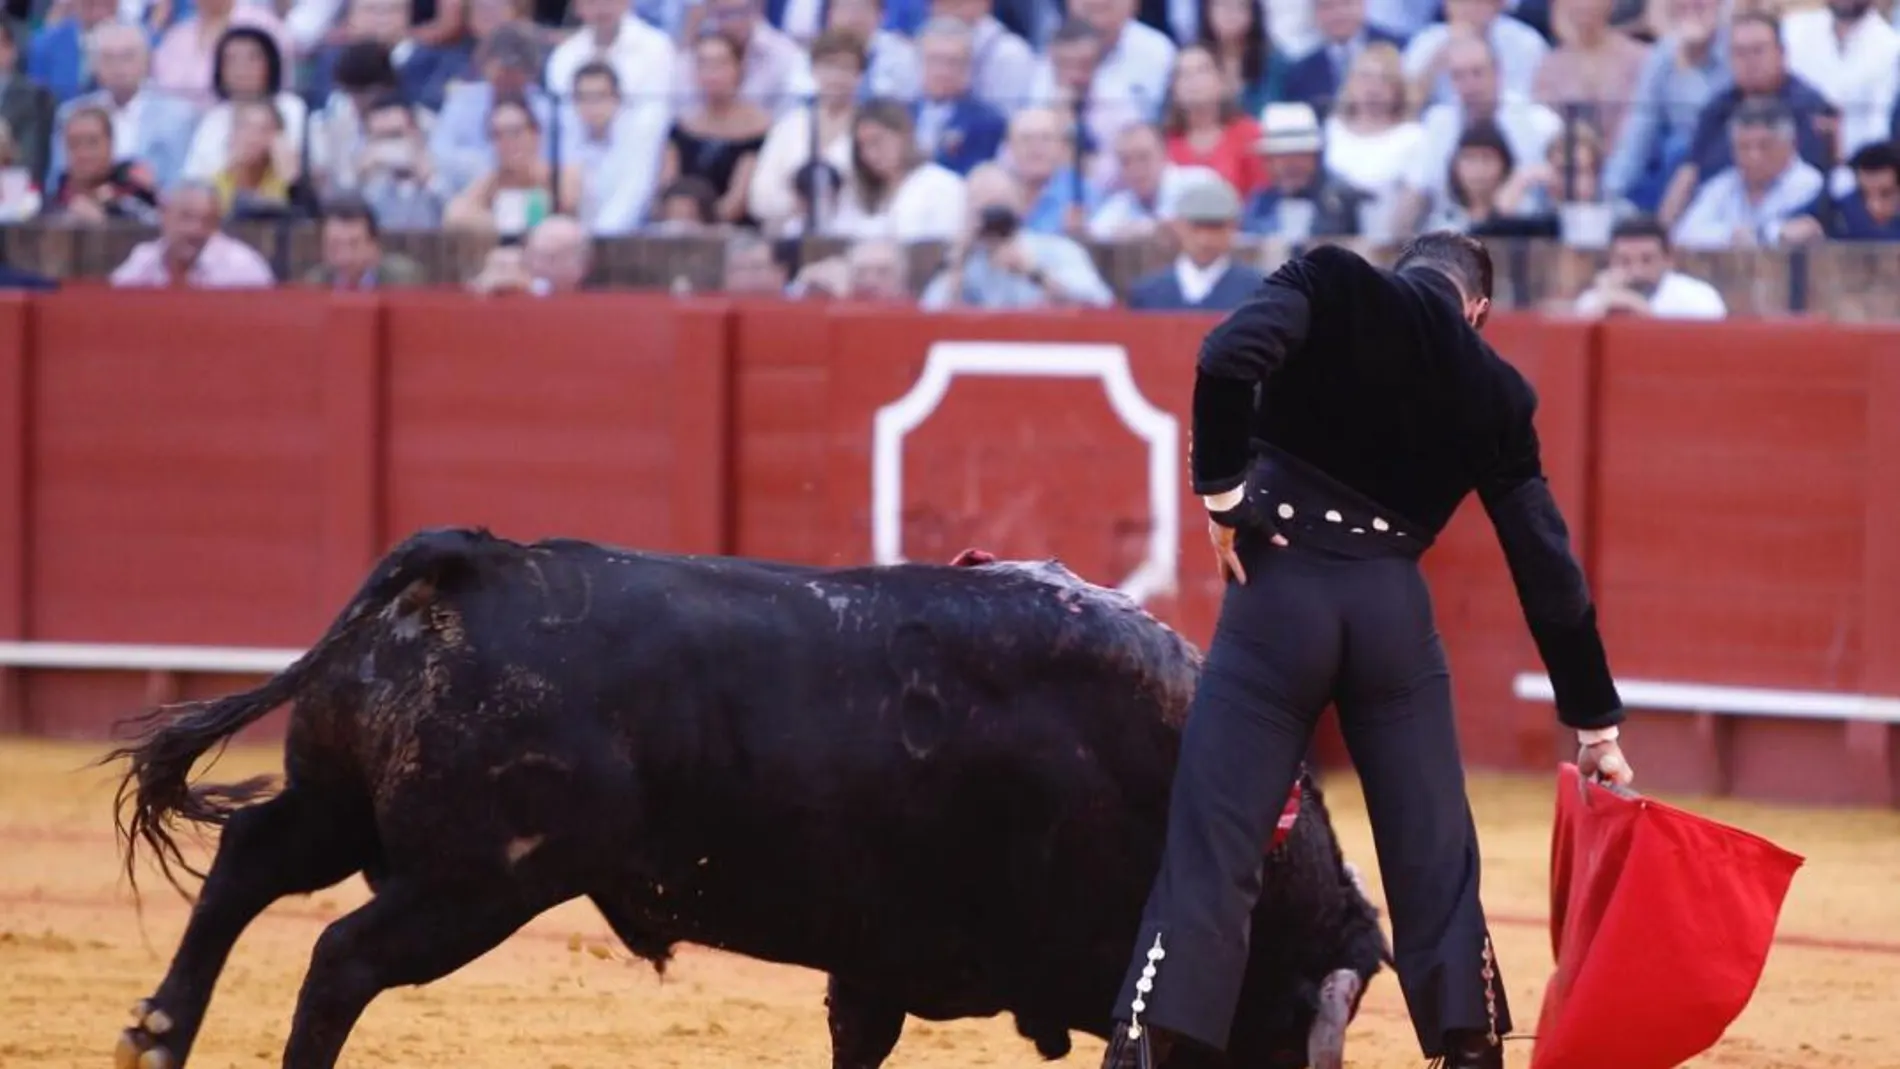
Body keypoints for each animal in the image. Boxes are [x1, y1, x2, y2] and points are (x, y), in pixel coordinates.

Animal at [104, 527, 1390, 1069]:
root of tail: (475, 559)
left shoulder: (872, 967)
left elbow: (858, 1042)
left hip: (347, 811)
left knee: (250, 861)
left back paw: (158, 1034)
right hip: (475, 882)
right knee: (341, 958)